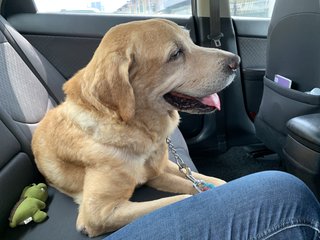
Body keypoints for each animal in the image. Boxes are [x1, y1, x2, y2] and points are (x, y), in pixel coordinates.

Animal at [31, 18, 240, 236]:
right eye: (175, 54)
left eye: (190, 41)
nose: (236, 61)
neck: (139, 129)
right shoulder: (98, 213)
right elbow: (182, 198)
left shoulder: (158, 170)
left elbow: (213, 181)